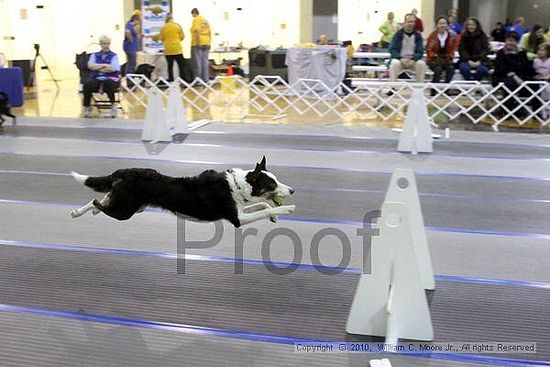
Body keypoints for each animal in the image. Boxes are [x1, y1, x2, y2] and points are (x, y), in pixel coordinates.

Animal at [71, 157, 300, 227]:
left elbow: (263, 205)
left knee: (102, 198)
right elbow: (267, 208)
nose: (292, 190)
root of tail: (124, 171)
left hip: (130, 203)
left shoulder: (241, 210)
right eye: (271, 184)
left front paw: (274, 217)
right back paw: (93, 208)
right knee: (98, 203)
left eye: (276, 180)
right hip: (125, 211)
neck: (237, 185)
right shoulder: (237, 219)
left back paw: (77, 212)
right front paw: (287, 209)